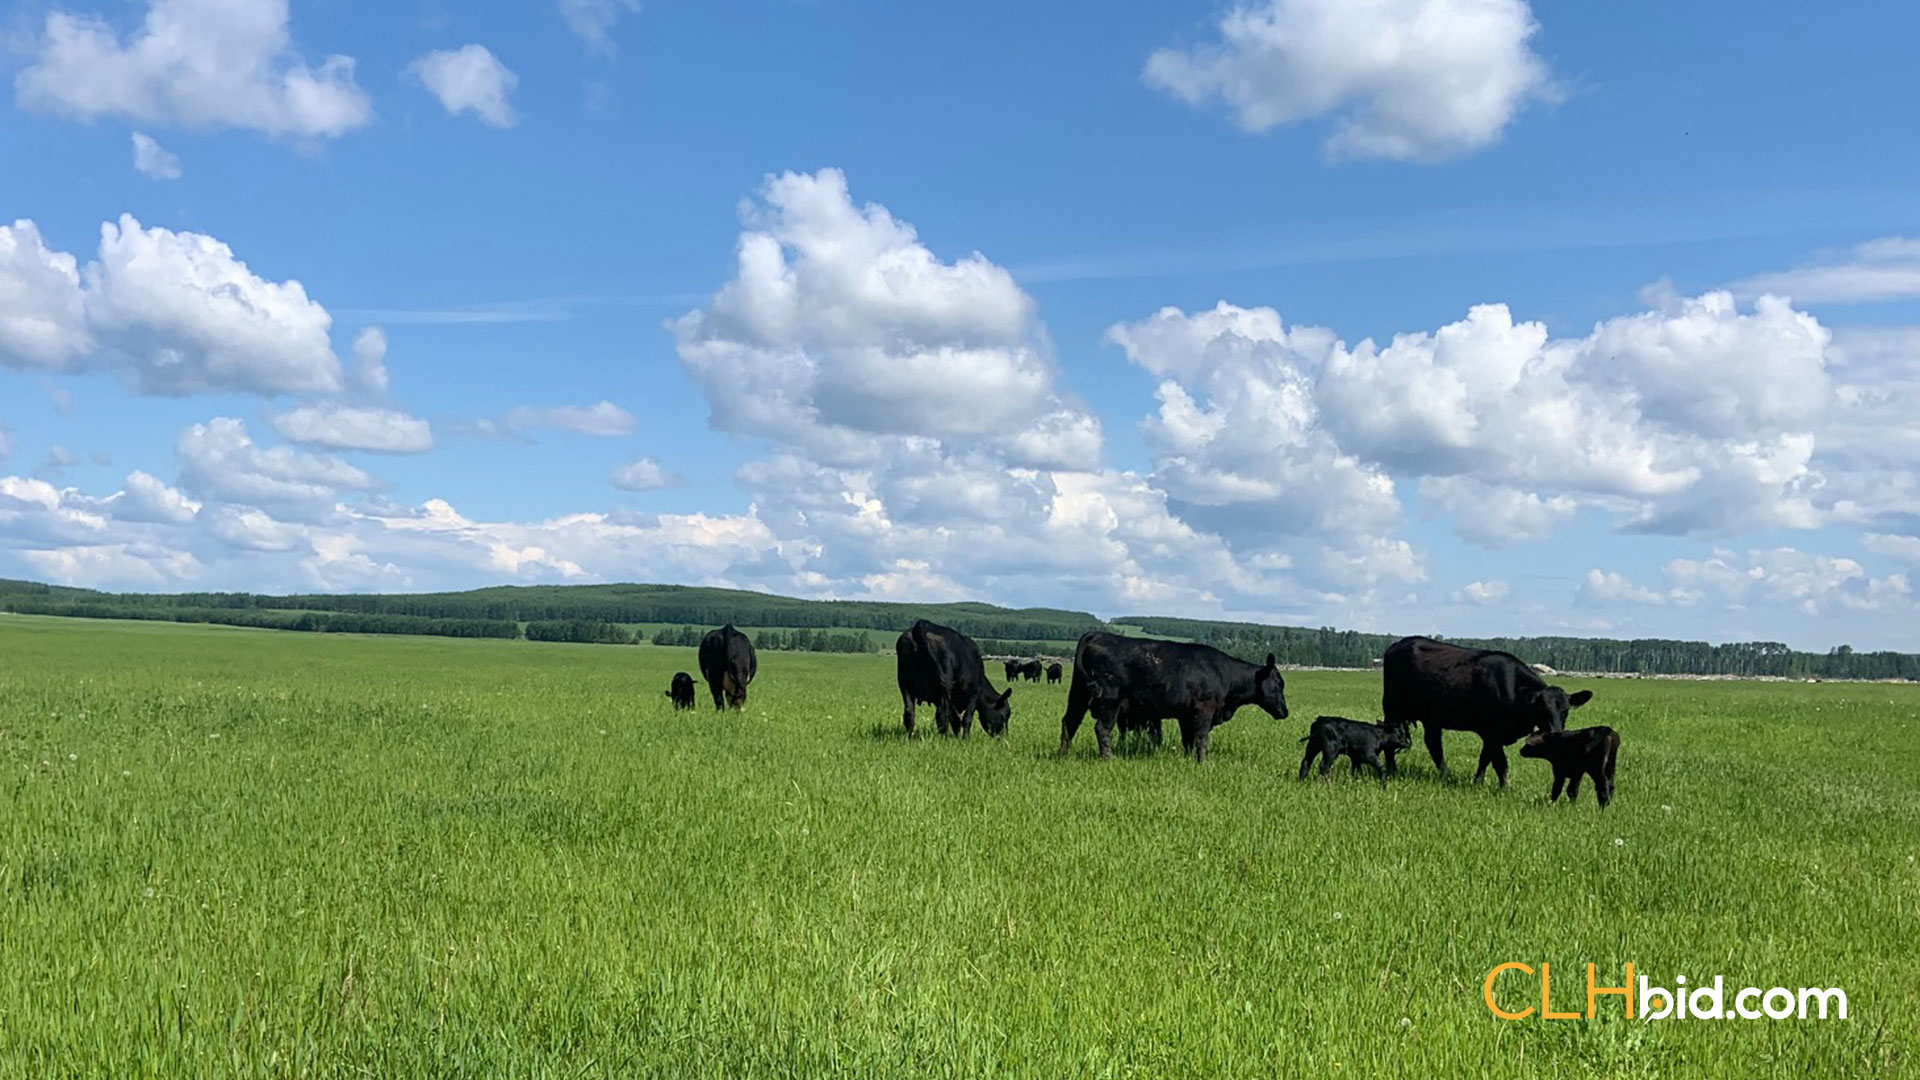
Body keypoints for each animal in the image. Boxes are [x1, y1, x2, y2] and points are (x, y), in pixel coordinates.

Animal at [1058, 632, 1289, 762]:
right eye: (1279, 683)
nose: (1285, 712)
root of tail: (1097, 635)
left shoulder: (1186, 715)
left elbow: (1188, 740)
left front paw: (1188, 760)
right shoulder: (1204, 709)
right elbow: (1201, 738)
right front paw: (1203, 763)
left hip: (1078, 695)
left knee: (1069, 722)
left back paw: (1063, 756)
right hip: (1109, 700)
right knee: (1102, 729)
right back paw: (1108, 759)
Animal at [1381, 636, 1593, 787]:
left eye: (1566, 710)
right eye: (1541, 708)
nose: (1555, 732)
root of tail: (1398, 644)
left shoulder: (1492, 736)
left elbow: (1485, 758)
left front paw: (1478, 783)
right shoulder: (1491, 732)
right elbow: (1500, 763)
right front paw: (1504, 789)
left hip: (1432, 718)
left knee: (1434, 744)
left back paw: (1445, 775)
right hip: (1392, 708)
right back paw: (1392, 772)